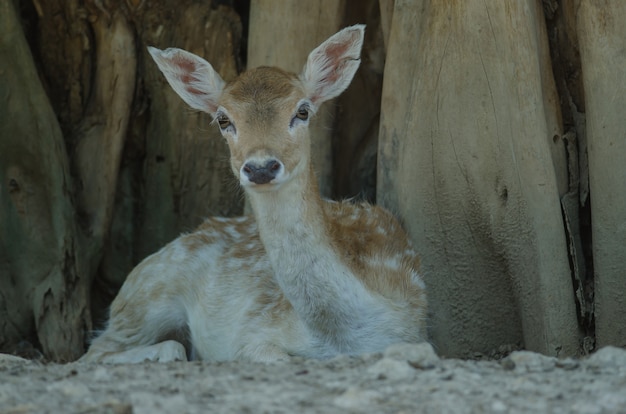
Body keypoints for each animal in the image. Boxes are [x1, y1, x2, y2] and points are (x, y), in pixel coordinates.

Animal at [79, 24, 424, 364]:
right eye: (223, 119)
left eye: (302, 111)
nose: (260, 167)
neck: (341, 335)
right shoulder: (253, 332)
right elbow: (277, 357)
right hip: (148, 294)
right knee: (96, 351)